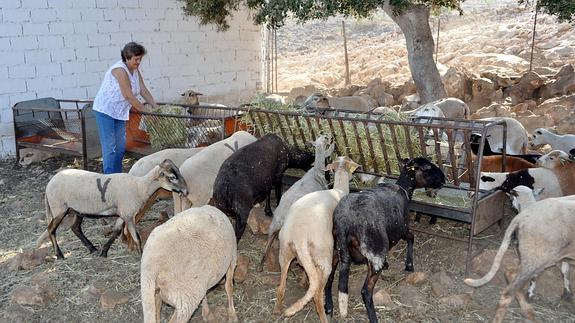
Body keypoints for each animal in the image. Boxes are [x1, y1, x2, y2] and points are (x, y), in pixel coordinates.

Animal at [41, 160, 189, 260]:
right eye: (172, 177)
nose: (186, 191)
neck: (140, 186)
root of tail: (49, 184)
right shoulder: (129, 215)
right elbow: (136, 238)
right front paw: (141, 256)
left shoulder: (123, 214)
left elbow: (116, 231)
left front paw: (104, 252)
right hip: (59, 208)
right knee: (51, 229)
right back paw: (59, 255)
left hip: (76, 210)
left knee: (75, 228)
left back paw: (92, 248)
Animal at [260, 135, 336, 272]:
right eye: (325, 138)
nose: (332, 137)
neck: (317, 170)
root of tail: (281, 217)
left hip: (273, 224)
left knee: (269, 238)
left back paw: (262, 262)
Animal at [272, 156, 358, 322]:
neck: (339, 189)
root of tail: (299, 235)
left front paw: (303, 280)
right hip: (323, 256)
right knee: (318, 294)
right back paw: (324, 317)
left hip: (285, 252)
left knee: (281, 287)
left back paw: (278, 310)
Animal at [324, 158, 446, 323]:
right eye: (427, 167)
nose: (444, 179)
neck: (404, 188)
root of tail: (344, 220)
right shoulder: (401, 229)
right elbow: (411, 237)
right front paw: (409, 265)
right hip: (376, 250)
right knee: (366, 291)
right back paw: (373, 318)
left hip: (337, 249)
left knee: (328, 278)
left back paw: (329, 307)